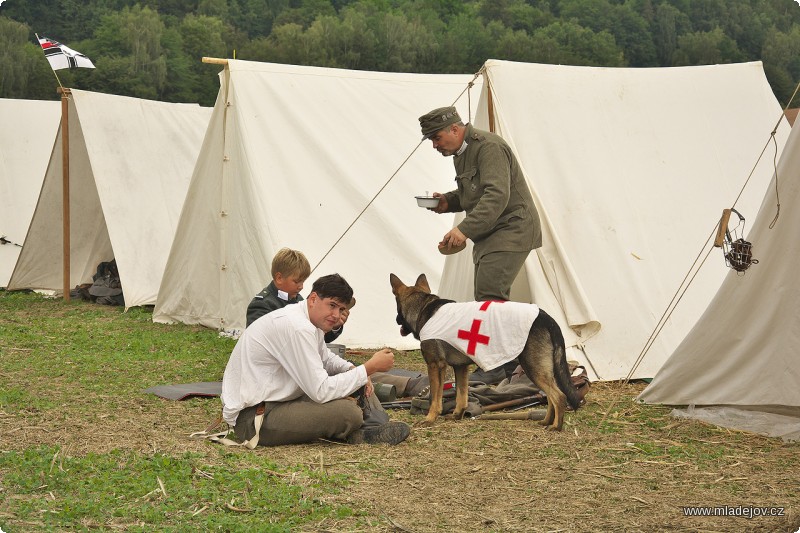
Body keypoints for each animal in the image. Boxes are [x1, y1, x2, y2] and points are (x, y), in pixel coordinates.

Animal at [390, 274, 580, 428]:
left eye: (397, 309)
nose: (396, 320)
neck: (423, 308)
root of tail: (546, 317)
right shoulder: (461, 368)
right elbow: (461, 395)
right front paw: (457, 415)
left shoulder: (435, 366)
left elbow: (435, 398)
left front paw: (430, 418)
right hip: (542, 369)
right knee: (551, 396)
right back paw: (547, 421)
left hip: (533, 368)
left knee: (558, 396)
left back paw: (556, 426)